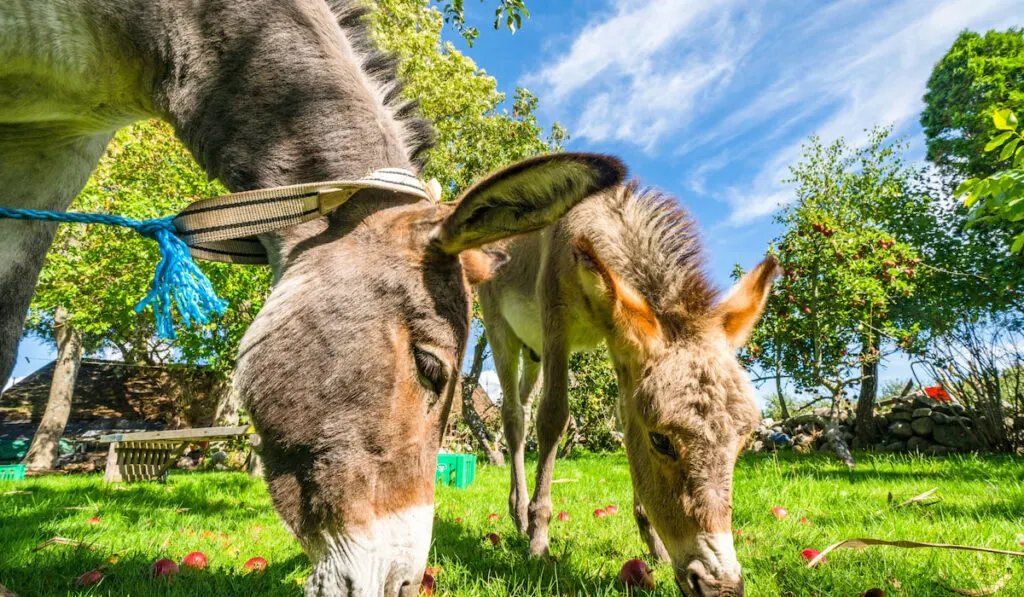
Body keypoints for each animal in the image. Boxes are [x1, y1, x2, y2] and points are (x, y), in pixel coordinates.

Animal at [477, 183, 774, 597]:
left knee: (521, 403)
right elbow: (553, 417)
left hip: (532, 350)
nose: (721, 587)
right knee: (514, 418)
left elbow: (623, 422)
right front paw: (539, 541)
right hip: (500, 329)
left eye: (742, 441)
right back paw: (521, 515)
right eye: (661, 441)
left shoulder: (619, 345)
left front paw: (655, 544)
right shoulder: (556, 325)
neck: (596, 217)